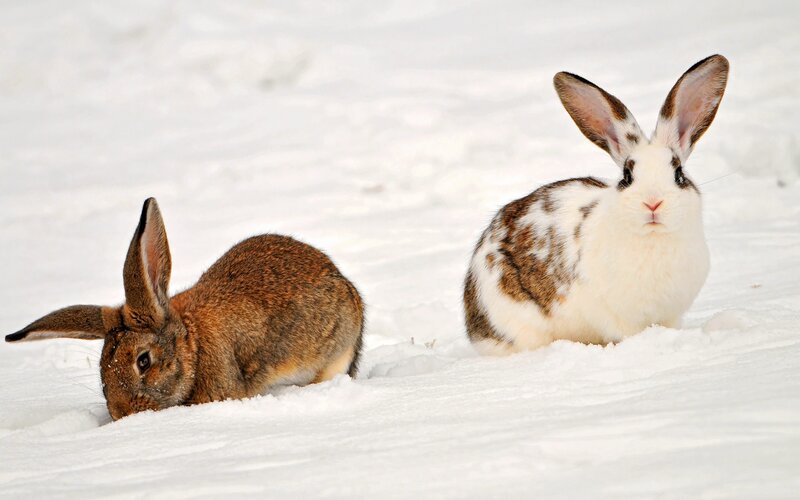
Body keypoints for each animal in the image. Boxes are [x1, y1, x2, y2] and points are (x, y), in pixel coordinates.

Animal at [464, 55, 729, 355]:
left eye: (678, 174)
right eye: (627, 176)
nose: (652, 204)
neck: (653, 239)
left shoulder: (671, 314)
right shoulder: (618, 317)